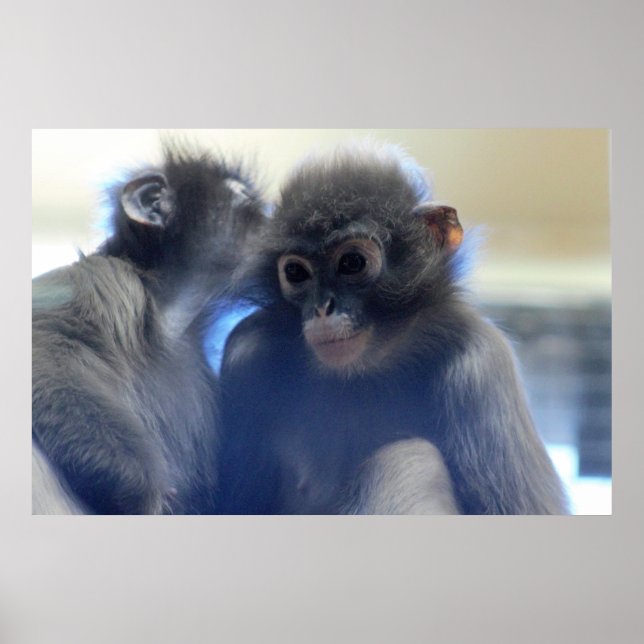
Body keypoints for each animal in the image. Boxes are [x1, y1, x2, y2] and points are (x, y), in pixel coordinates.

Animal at [32, 143, 266, 514]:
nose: (274, 222)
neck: (171, 316)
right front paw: (141, 491)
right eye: (242, 196)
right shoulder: (105, 279)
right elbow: (41, 344)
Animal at [215, 143, 569, 515]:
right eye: (296, 272)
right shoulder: (247, 349)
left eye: (352, 263)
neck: (364, 370)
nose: (323, 308)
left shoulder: (481, 362)